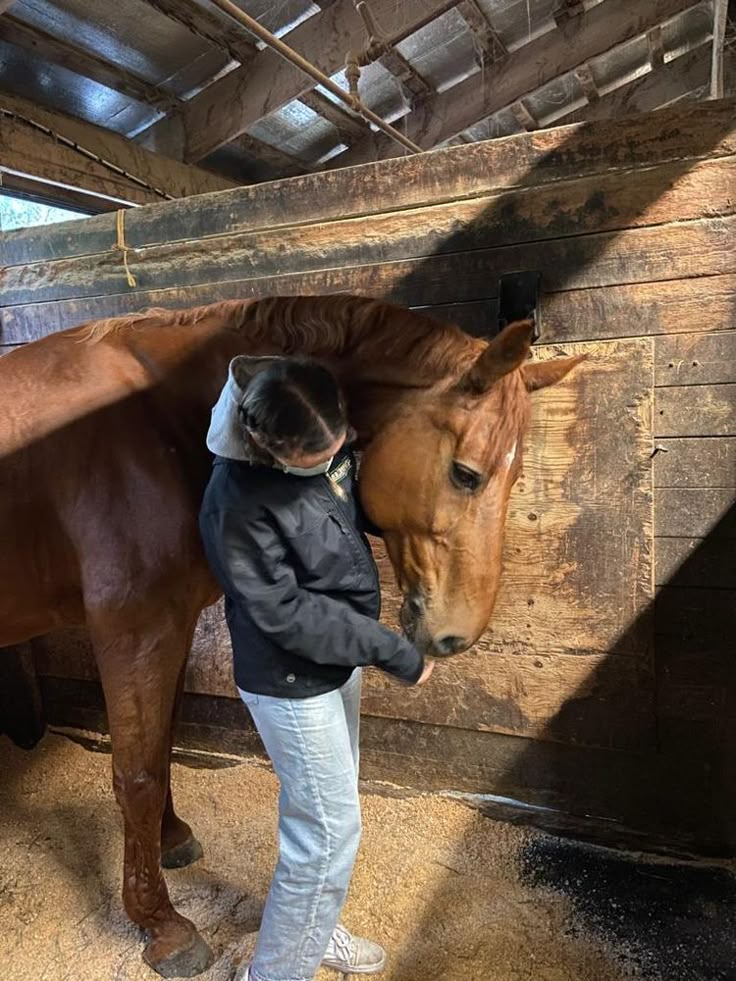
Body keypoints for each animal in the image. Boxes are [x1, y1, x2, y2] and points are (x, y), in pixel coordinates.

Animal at [0, 294, 580, 976]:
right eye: (467, 474)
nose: (455, 636)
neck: (153, 420)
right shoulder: (134, 631)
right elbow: (136, 774)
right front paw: (161, 924)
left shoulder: (171, 626)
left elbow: (162, 748)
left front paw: (173, 841)